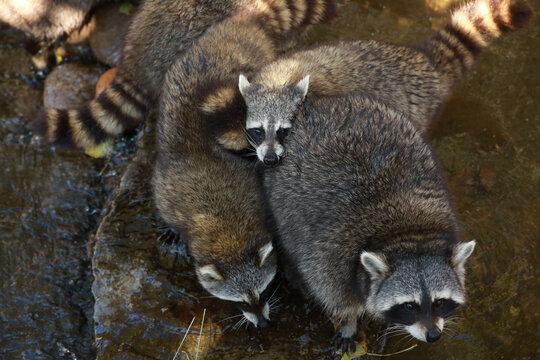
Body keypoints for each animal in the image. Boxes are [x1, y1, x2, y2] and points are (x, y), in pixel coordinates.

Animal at [153, 0, 334, 328]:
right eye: (240, 302)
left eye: (264, 291)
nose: (262, 324)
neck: (225, 229)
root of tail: (235, 26)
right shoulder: (172, 193)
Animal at [227, 0, 532, 163]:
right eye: (257, 131)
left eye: (283, 131)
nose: (269, 159)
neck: (280, 78)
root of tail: (423, 62)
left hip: (416, 110)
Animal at [262, 93, 476, 352]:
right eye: (409, 306)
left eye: (440, 301)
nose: (433, 335)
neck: (407, 234)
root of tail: (320, 104)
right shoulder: (329, 255)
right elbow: (333, 295)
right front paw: (348, 321)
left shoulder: (444, 217)